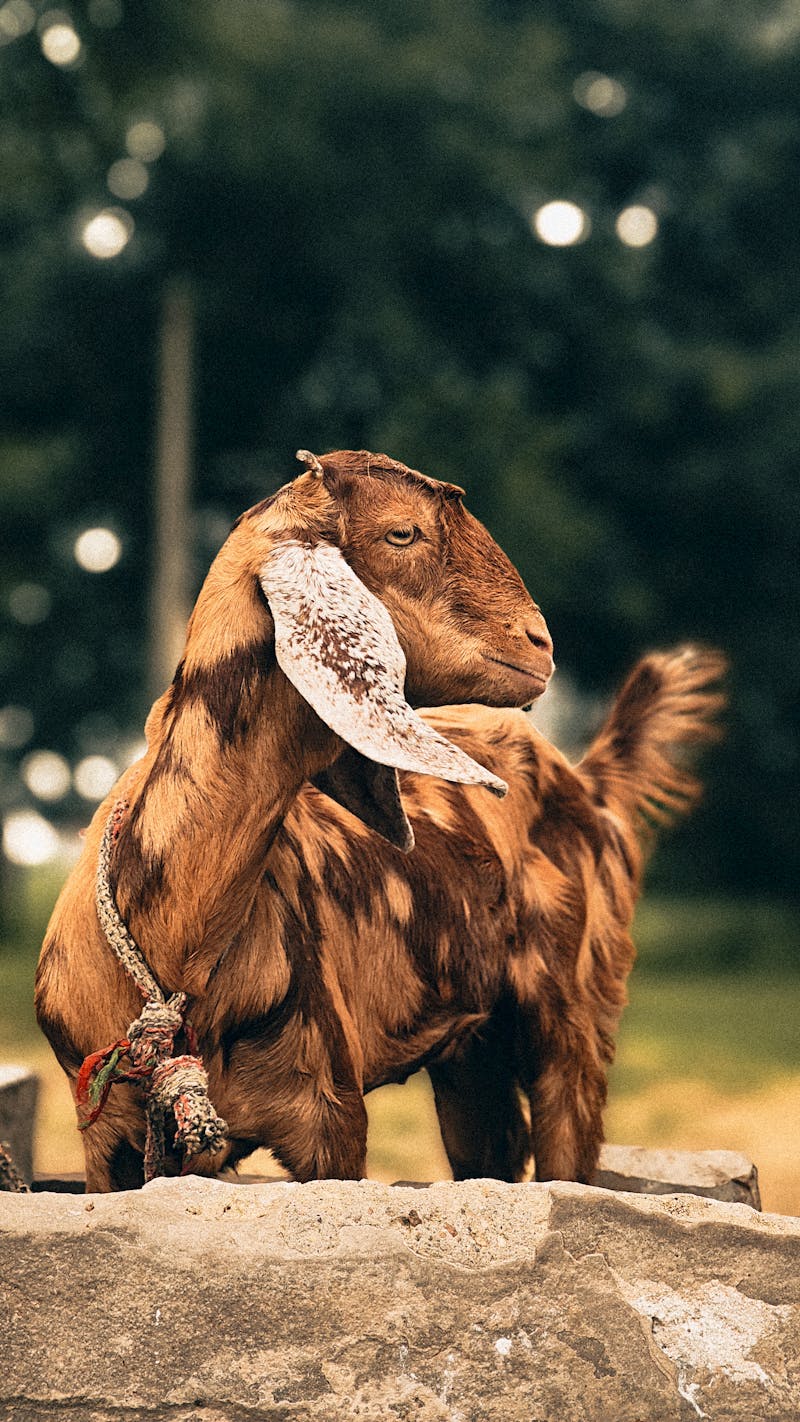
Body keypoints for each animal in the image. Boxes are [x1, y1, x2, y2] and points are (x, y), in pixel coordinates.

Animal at [35, 448, 554, 1191]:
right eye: (403, 533)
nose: (540, 644)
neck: (176, 950)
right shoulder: (105, 1141)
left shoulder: (327, 1115)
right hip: (472, 1058)